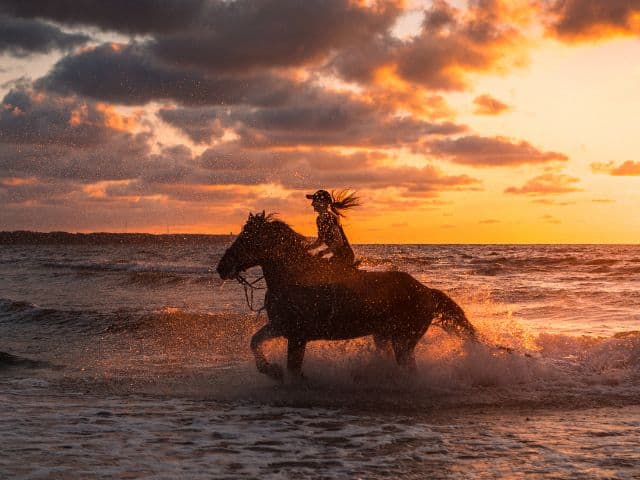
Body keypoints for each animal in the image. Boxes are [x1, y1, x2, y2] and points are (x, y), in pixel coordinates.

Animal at [216, 212, 476, 380]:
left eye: (247, 238)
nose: (222, 267)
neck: (294, 277)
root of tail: (427, 292)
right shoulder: (281, 327)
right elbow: (255, 341)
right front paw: (272, 371)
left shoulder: (297, 335)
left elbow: (293, 368)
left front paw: (281, 375)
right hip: (384, 336)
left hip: (404, 341)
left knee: (409, 369)